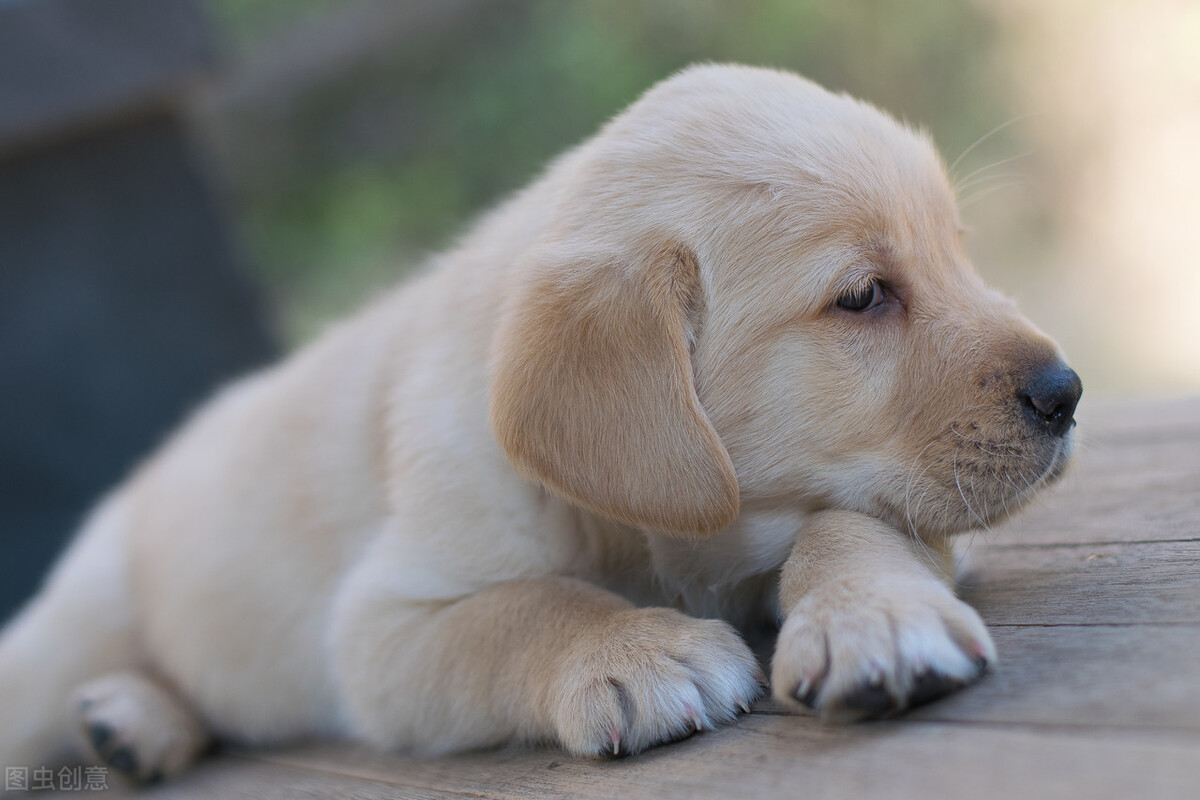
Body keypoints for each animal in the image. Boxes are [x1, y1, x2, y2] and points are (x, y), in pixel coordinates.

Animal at [0, 65, 1080, 777]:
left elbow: (850, 523)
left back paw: (132, 723)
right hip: (69, 628)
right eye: (861, 297)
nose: (1067, 392)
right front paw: (637, 650)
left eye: (958, 251)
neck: (664, 539)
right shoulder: (380, 628)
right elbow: (527, 606)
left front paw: (876, 619)